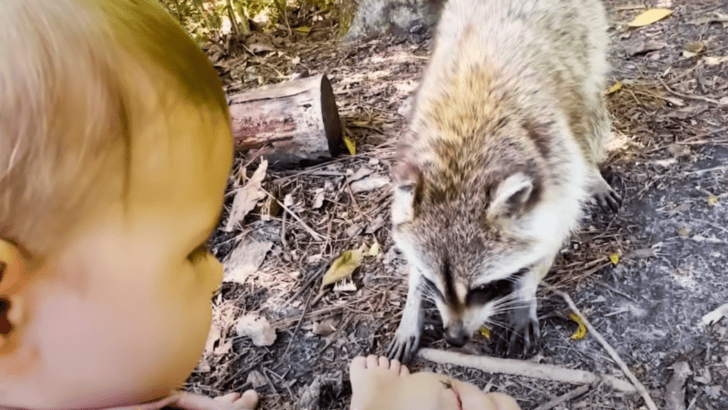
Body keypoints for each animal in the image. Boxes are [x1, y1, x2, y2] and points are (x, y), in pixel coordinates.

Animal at [386, 0, 620, 363]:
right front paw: (413, 304)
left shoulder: (556, 163)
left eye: (484, 288)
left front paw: (524, 292)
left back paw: (592, 171)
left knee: (588, 111)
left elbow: (549, 236)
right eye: (435, 284)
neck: (460, 154)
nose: (455, 338)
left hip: (588, 44)